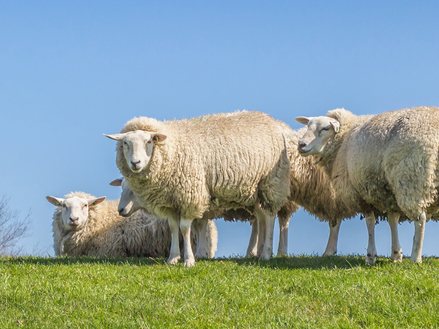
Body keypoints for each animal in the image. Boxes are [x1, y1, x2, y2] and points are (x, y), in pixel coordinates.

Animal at [105, 111, 294, 266]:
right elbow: (174, 228)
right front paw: (173, 258)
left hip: (272, 183)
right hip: (253, 191)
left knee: (270, 216)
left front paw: (189, 260)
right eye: (125, 143)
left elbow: (185, 228)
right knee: (261, 217)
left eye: (148, 141)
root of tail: (270, 119)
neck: (173, 147)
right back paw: (259, 252)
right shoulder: (170, 201)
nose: (135, 163)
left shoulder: (190, 196)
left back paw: (267, 253)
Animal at [298, 106, 439, 262]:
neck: (343, 140)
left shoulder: (361, 193)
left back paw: (415, 258)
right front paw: (396, 255)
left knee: (420, 219)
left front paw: (370, 256)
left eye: (325, 128)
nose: (301, 144)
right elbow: (392, 220)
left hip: (411, 179)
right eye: (308, 126)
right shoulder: (387, 193)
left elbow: (370, 222)